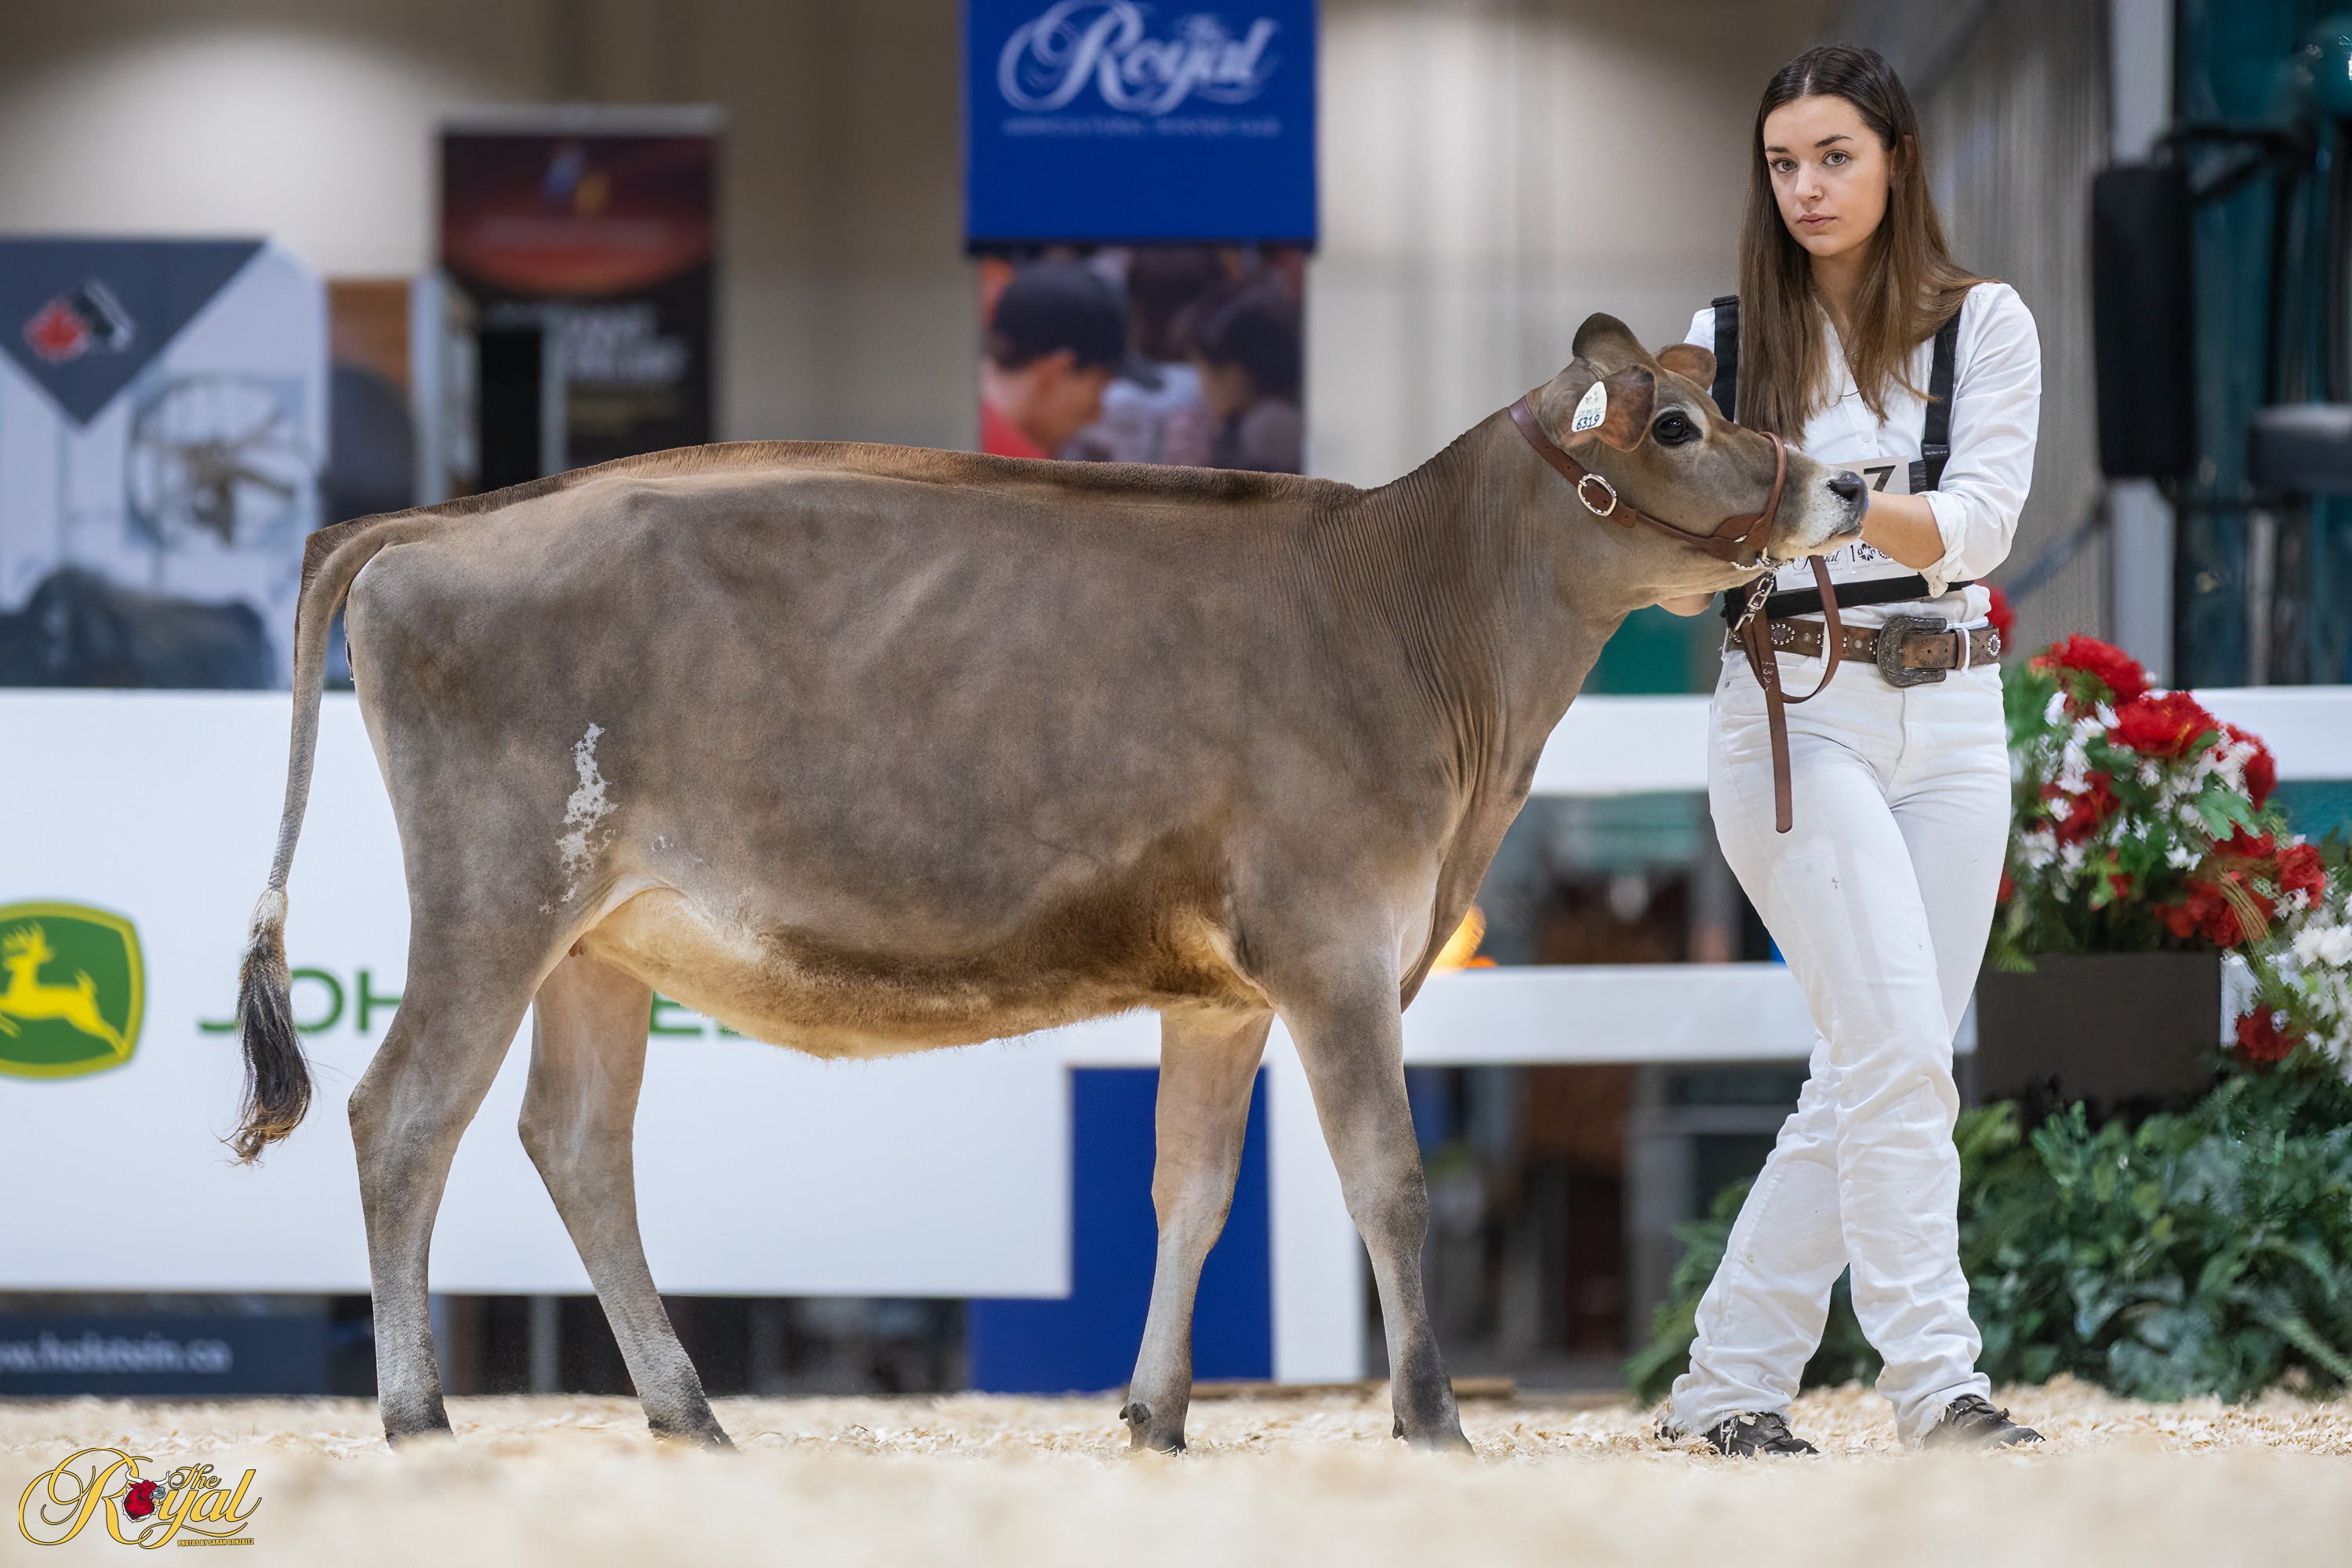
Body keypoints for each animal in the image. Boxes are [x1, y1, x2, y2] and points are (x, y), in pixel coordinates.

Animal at [228, 314, 1862, 1455]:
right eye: (1675, 422)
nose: (1845, 480)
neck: (1420, 624)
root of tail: (447, 519)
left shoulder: (1228, 991)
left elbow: (1192, 1191)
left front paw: (1155, 1414)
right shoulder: (1338, 948)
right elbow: (1386, 1185)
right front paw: (1434, 1420)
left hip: (601, 941)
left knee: (573, 1144)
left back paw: (689, 1415)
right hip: (495, 898)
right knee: (403, 1118)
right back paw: (420, 1418)